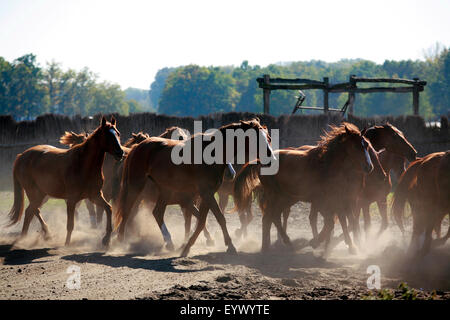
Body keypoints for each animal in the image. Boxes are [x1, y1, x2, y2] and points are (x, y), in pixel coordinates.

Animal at [7, 116, 123, 246]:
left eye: (118, 133)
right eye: (107, 135)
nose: (120, 153)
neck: (83, 164)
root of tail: (21, 156)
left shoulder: (95, 195)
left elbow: (109, 209)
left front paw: (106, 239)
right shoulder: (71, 200)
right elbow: (70, 224)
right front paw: (67, 244)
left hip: (41, 194)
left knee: (31, 212)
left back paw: (36, 236)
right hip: (34, 193)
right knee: (31, 211)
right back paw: (28, 238)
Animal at [114, 119, 276, 256]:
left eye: (268, 138)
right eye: (256, 139)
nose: (272, 159)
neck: (212, 154)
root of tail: (137, 147)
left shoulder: (205, 195)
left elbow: (204, 220)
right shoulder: (206, 194)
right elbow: (217, 218)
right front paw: (228, 245)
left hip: (165, 190)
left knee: (157, 212)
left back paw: (169, 242)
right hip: (136, 185)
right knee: (127, 210)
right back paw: (121, 240)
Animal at [234, 123, 374, 255]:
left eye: (366, 145)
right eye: (355, 146)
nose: (369, 167)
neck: (328, 165)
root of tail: (261, 161)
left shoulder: (341, 200)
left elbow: (342, 221)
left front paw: (349, 246)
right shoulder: (329, 201)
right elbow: (334, 222)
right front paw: (318, 242)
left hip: (286, 198)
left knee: (274, 217)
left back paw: (280, 244)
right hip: (275, 196)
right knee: (268, 218)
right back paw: (269, 247)